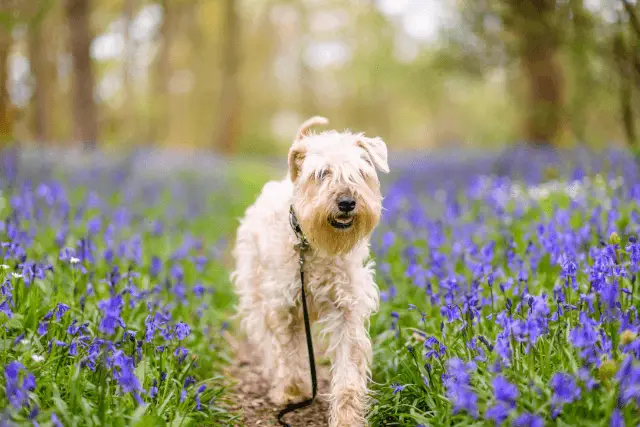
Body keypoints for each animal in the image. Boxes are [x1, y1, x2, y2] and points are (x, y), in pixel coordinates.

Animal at [232, 117, 388, 427]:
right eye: (322, 173)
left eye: (360, 173)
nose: (346, 202)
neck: (313, 246)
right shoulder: (284, 306)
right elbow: (288, 352)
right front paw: (292, 391)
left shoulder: (347, 307)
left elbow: (348, 368)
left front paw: (347, 417)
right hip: (256, 295)